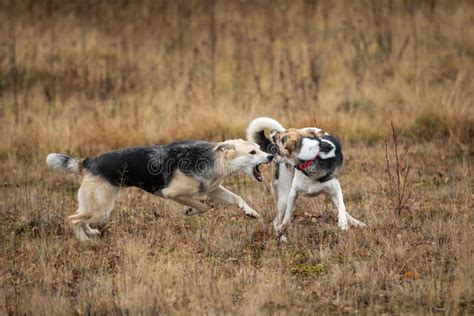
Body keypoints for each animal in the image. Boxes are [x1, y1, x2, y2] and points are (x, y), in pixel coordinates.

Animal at [46, 139, 274, 241]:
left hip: (99, 207)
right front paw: (190, 211)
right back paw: (85, 241)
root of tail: (89, 162)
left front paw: (250, 212)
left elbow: (237, 198)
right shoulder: (172, 193)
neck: (215, 160)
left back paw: (89, 233)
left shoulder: (213, 189)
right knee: (72, 219)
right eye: (253, 152)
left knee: (79, 216)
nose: (271, 156)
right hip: (100, 209)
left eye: (259, 149)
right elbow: (202, 206)